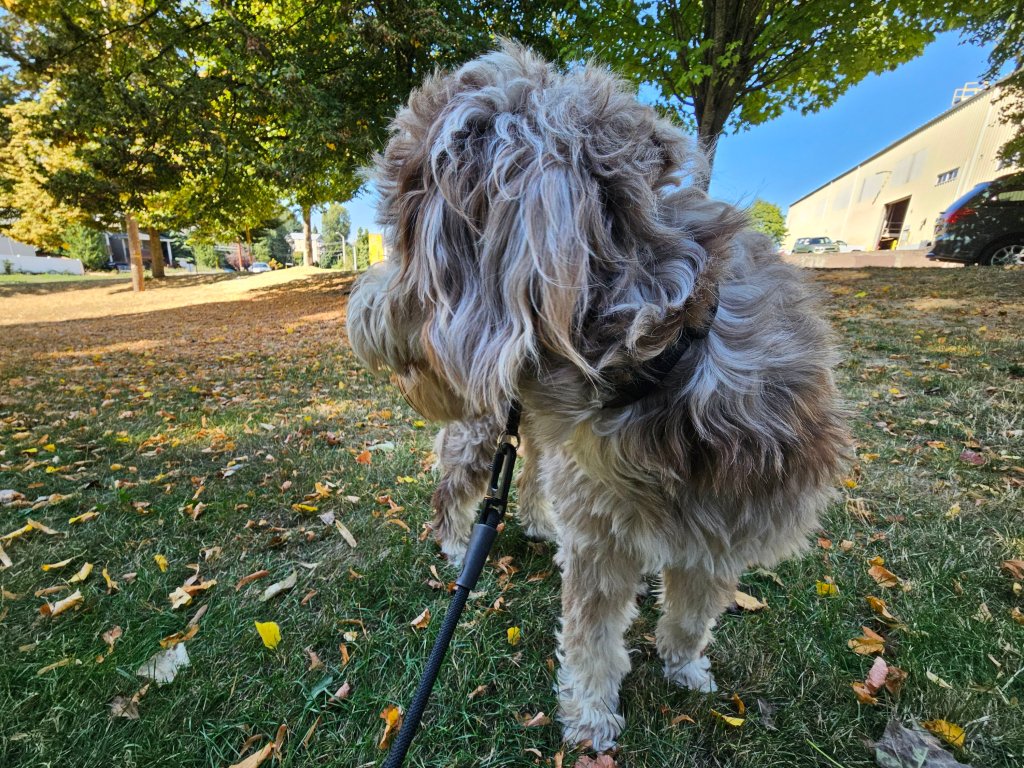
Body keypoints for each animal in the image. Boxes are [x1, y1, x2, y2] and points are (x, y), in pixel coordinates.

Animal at [346, 43, 850, 751]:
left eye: (406, 231)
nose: (355, 311)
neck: (665, 359)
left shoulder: (724, 530)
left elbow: (693, 611)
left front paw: (685, 667)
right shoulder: (604, 541)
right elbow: (592, 639)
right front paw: (590, 718)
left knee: (530, 475)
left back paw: (538, 524)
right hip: (483, 436)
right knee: (455, 488)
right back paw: (452, 543)